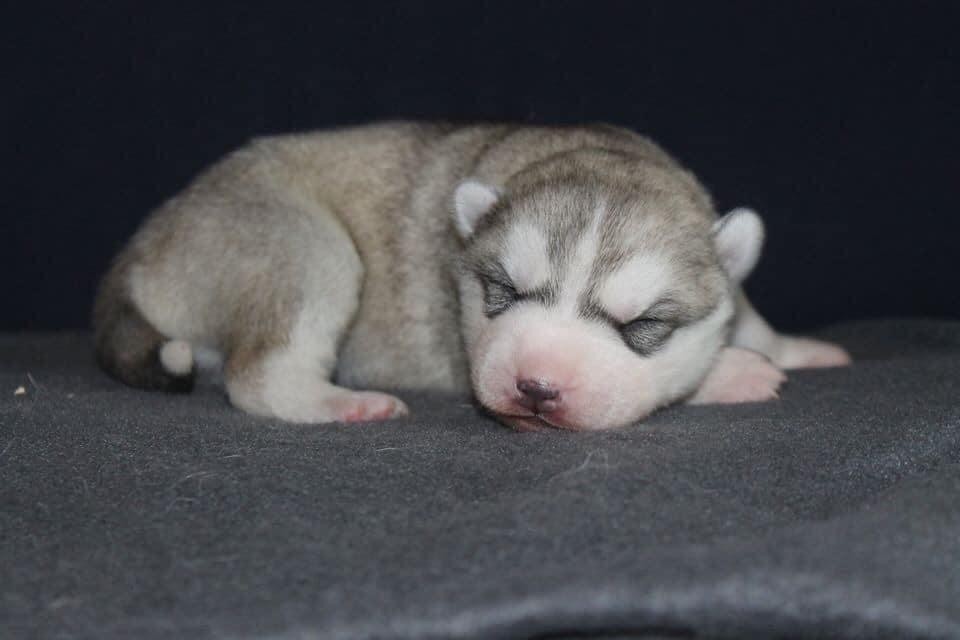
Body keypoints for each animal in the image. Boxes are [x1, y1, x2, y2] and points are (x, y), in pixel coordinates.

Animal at [94, 121, 852, 430]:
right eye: (504, 292)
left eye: (641, 324)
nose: (537, 388)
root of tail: (142, 246)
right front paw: (737, 371)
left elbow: (745, 310)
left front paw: (784, 348)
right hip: (296, 241)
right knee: (260, 375)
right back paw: (341, 403)